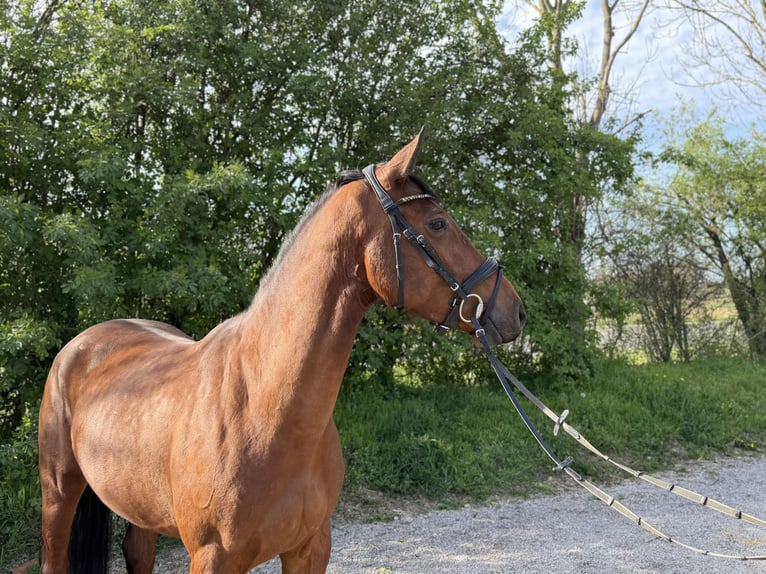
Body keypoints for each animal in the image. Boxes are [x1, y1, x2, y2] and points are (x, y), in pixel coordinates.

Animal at [38, 130, 526, 574]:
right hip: (59, 492)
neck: (264, 407)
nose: (515, 310)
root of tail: (84, 343)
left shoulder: (310, 548)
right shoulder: (213, 558)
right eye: (438, 223)